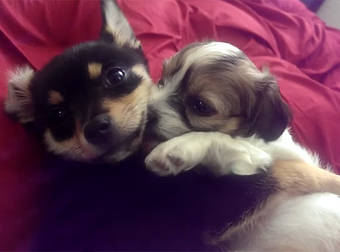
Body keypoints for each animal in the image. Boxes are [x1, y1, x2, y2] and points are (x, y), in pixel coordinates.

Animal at [145, 41, 340, 250]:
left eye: (200, 106)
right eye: (162, 81)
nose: (145, 114)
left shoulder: (291, 161)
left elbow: (223, 140)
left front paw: (179, 148)